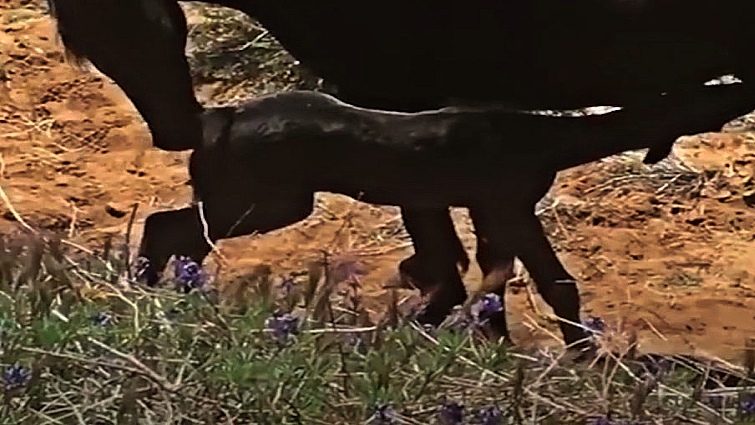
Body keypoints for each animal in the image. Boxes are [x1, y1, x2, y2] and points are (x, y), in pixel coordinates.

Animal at [136, 86, 755, 348]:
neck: (552, 137)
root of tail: (215, 118)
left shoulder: (491, 209)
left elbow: (495, 285)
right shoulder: (507, 202)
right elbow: (551, 283)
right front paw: (581, 358)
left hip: (253, 202)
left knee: (180, 231)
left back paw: (170, 293)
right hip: (264, 202)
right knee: (168, 225)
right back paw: (150, 288)